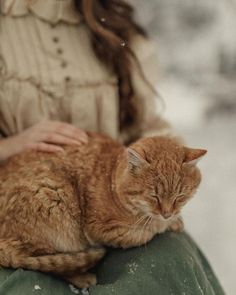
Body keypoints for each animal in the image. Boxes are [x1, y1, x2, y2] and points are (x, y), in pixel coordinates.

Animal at [0, 134, 206, 290]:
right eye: (154, 196)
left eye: (180, 196)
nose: (167, 213)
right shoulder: (103, 230)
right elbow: (148, 231)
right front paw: (167, 223)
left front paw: (174, 220)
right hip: (57, 206)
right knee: (43, 263)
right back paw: (83, 277)